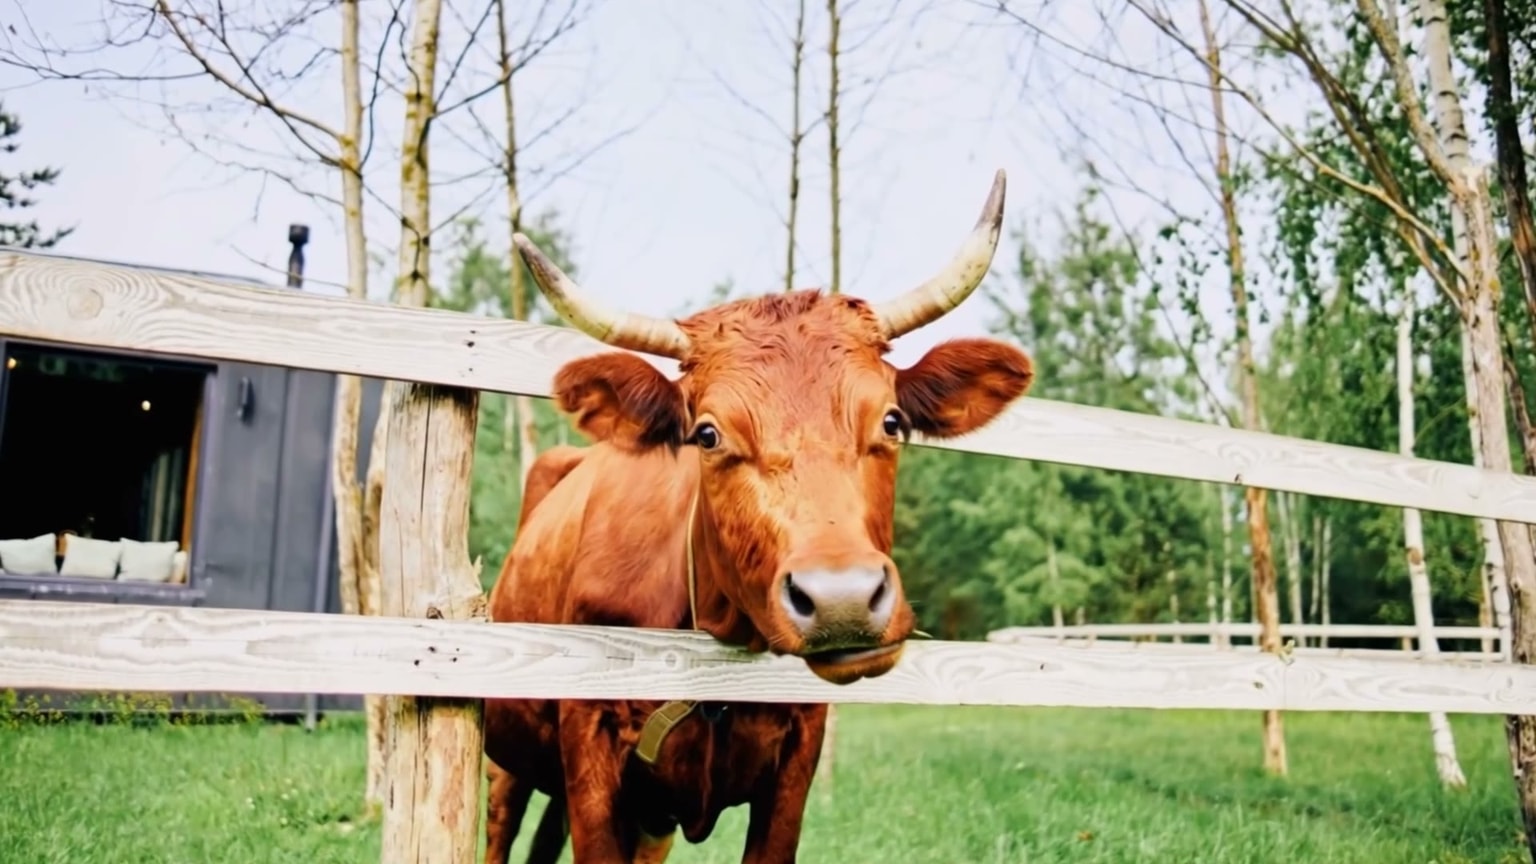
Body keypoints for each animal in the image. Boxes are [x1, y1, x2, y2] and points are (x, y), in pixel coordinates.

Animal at [482, 169, 1034, 864]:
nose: (842, 601)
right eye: (708, 434)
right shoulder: (590, 748)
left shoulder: (794, 760)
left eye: (891, 420)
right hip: (506, 757)